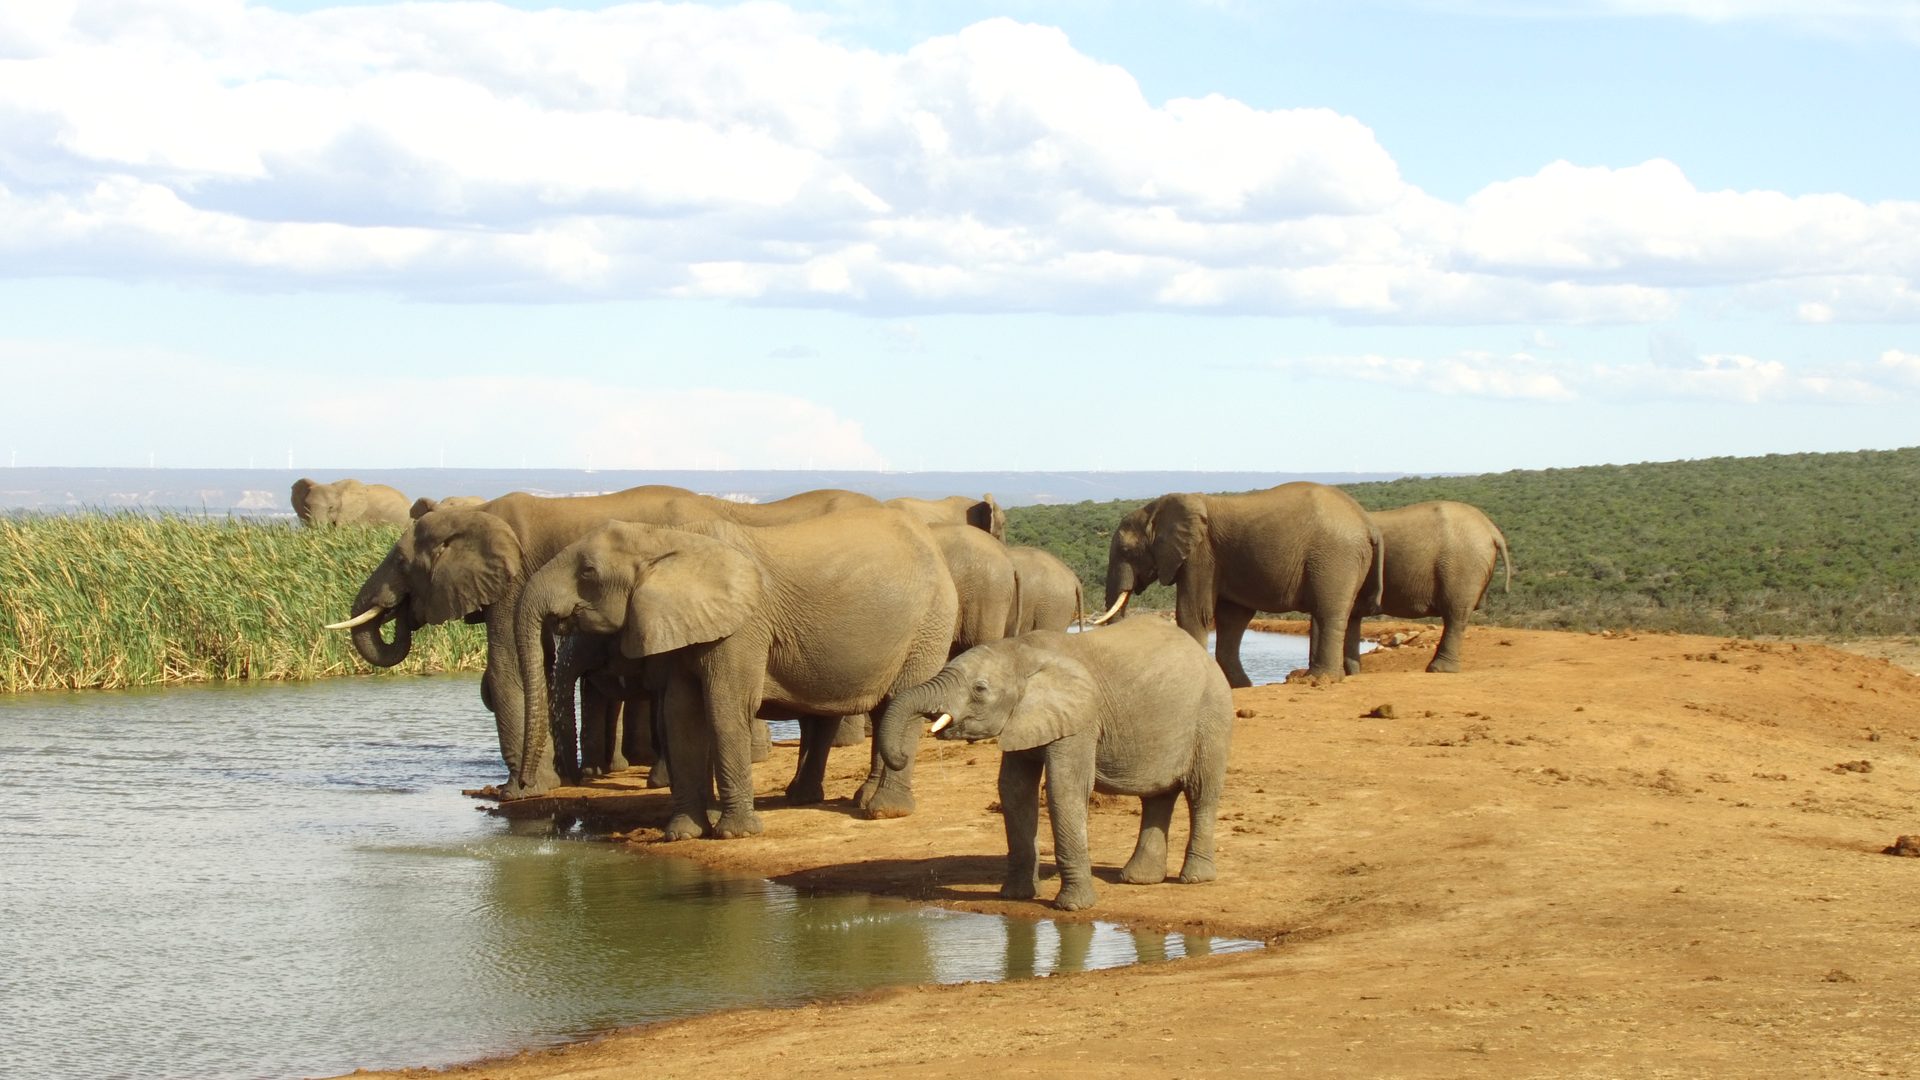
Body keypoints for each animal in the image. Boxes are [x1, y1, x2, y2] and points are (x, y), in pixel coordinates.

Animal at [326, 485, 881, 796]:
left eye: (401, 562)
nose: (400, 612)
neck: (477, 512)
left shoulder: (511, 581)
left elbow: (508, 670)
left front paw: (520, 791)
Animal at [512, 508, 959, 840]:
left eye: (587, 571)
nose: (521, 787)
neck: (668, 540)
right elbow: (681, 714)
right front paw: (682, 834)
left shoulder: (742, 627)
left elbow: (726, 708)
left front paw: (737, 834)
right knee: (875, 711)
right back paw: (834, 799)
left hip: (929, 623)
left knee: (901, 703)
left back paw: (884, 811)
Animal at [876, 618, 1233, 912]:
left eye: (980, 689)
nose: (901, 756)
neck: (1023, 651)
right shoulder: (1024, 718)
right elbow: (1014, 790)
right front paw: (1015, 896)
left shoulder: (1081, 719)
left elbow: (1065, 787)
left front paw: (1073, 907)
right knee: (1157, 797)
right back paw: (1138, 879)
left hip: (1212, 716)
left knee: (1201, 793)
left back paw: (1195, 878)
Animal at [1098, 482, 1383, 687]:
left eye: (1126, 551)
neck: (1157, 508)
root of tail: (1367, 522)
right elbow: (1232, 619)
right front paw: (1240, 686)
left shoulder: (1201, 555)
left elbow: (1194, 613)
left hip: (1335, 557)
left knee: (1328, 612)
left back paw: (1319, 680)